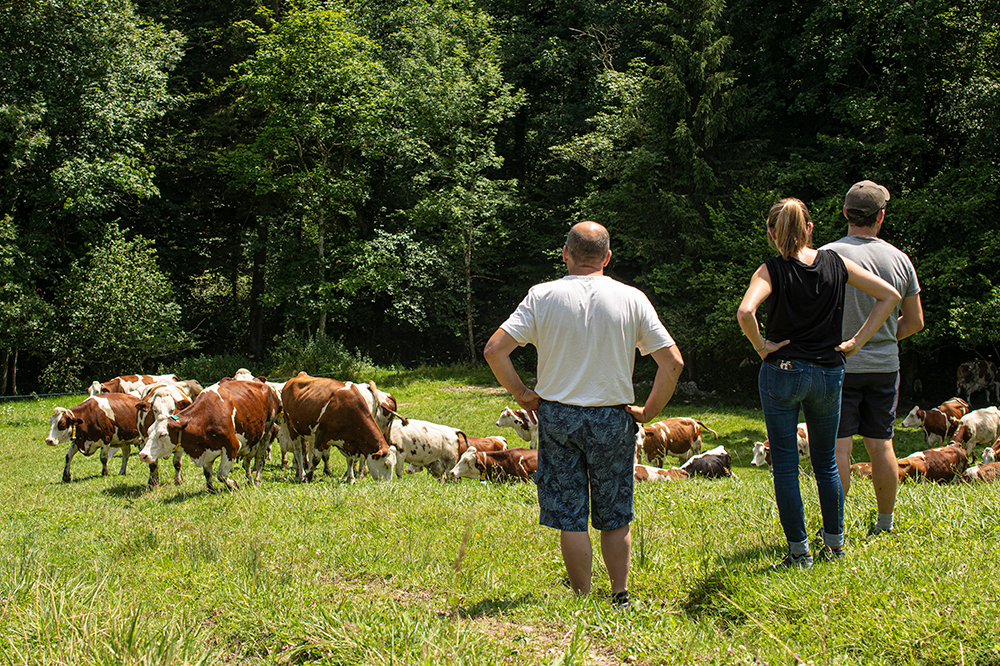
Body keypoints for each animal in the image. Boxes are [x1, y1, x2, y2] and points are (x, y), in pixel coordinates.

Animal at [137, 376, 282, 490]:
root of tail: (268, 387)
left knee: (260, 458)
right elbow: (207, 472)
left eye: (163, 434)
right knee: (247, 462)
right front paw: (210, 488)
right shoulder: (207, 449)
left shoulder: (232, 446)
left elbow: (221, 475)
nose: (143, 455)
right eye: (149, 432)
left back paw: (257, 479)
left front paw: (233, 484)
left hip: (267, 431)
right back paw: (249, 479)